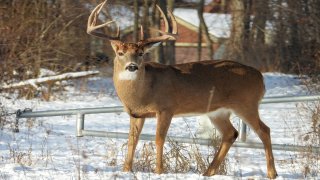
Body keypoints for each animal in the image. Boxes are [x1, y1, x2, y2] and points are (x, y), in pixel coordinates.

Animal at [87, 0, 278, 179]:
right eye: (120, 53)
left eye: (141, 53)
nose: (132, 66)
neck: (142, 93)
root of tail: (260, 77)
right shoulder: (136, 114)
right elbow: (132, 140)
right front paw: (126, 170)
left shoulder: (166, 108)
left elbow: (159, 138)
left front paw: (159, 171)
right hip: (218, 112)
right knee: (231, 133)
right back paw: (208, 172)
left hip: (246, 103)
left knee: (264, 130)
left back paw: (271, 173)